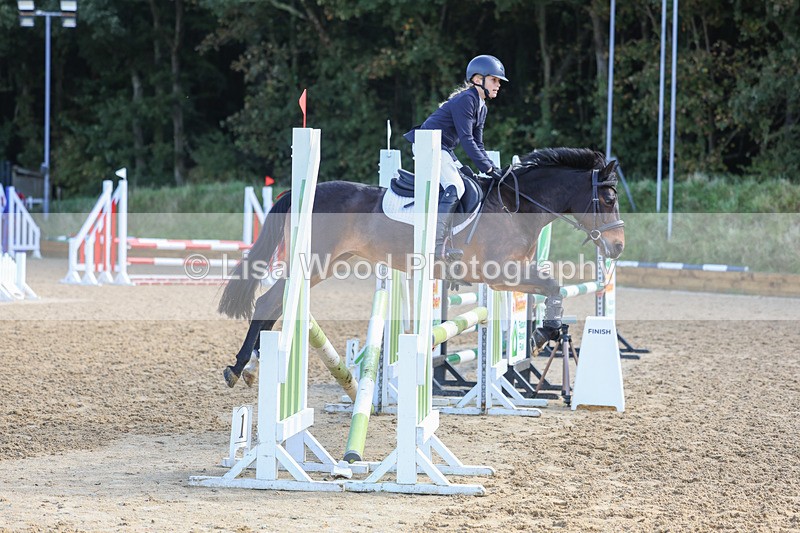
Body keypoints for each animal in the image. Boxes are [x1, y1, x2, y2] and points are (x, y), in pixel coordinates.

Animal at [218, 147, 625, 387]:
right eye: (607, 198)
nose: (618, 247)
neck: (516, 204)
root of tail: (299, 193)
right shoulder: (500, 274)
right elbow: (553, 285)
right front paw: (545, 334)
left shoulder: (513, 274)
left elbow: (551, 288)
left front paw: (545, 333)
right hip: (312, 262)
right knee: (269, 301)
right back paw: (238, 367)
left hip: (326, 264)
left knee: (276, 304)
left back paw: (251, 367)